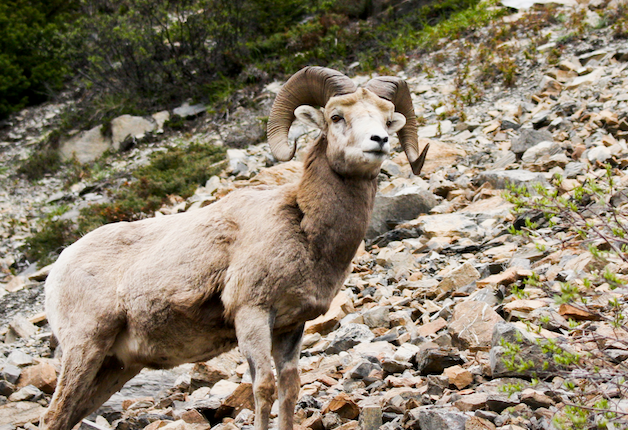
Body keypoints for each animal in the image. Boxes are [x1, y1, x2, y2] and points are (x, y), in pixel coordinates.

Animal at [41, 67, 430, 430]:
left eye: (387, 118)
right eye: (337, 117)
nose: (379, 140)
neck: (304, 227)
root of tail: (58, 268)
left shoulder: (290, 327)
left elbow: (289, 388)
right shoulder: (251, 314)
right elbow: (264, 388)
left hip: (114, 367)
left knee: (67, 416)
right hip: (86, 346)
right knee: (53, 415)